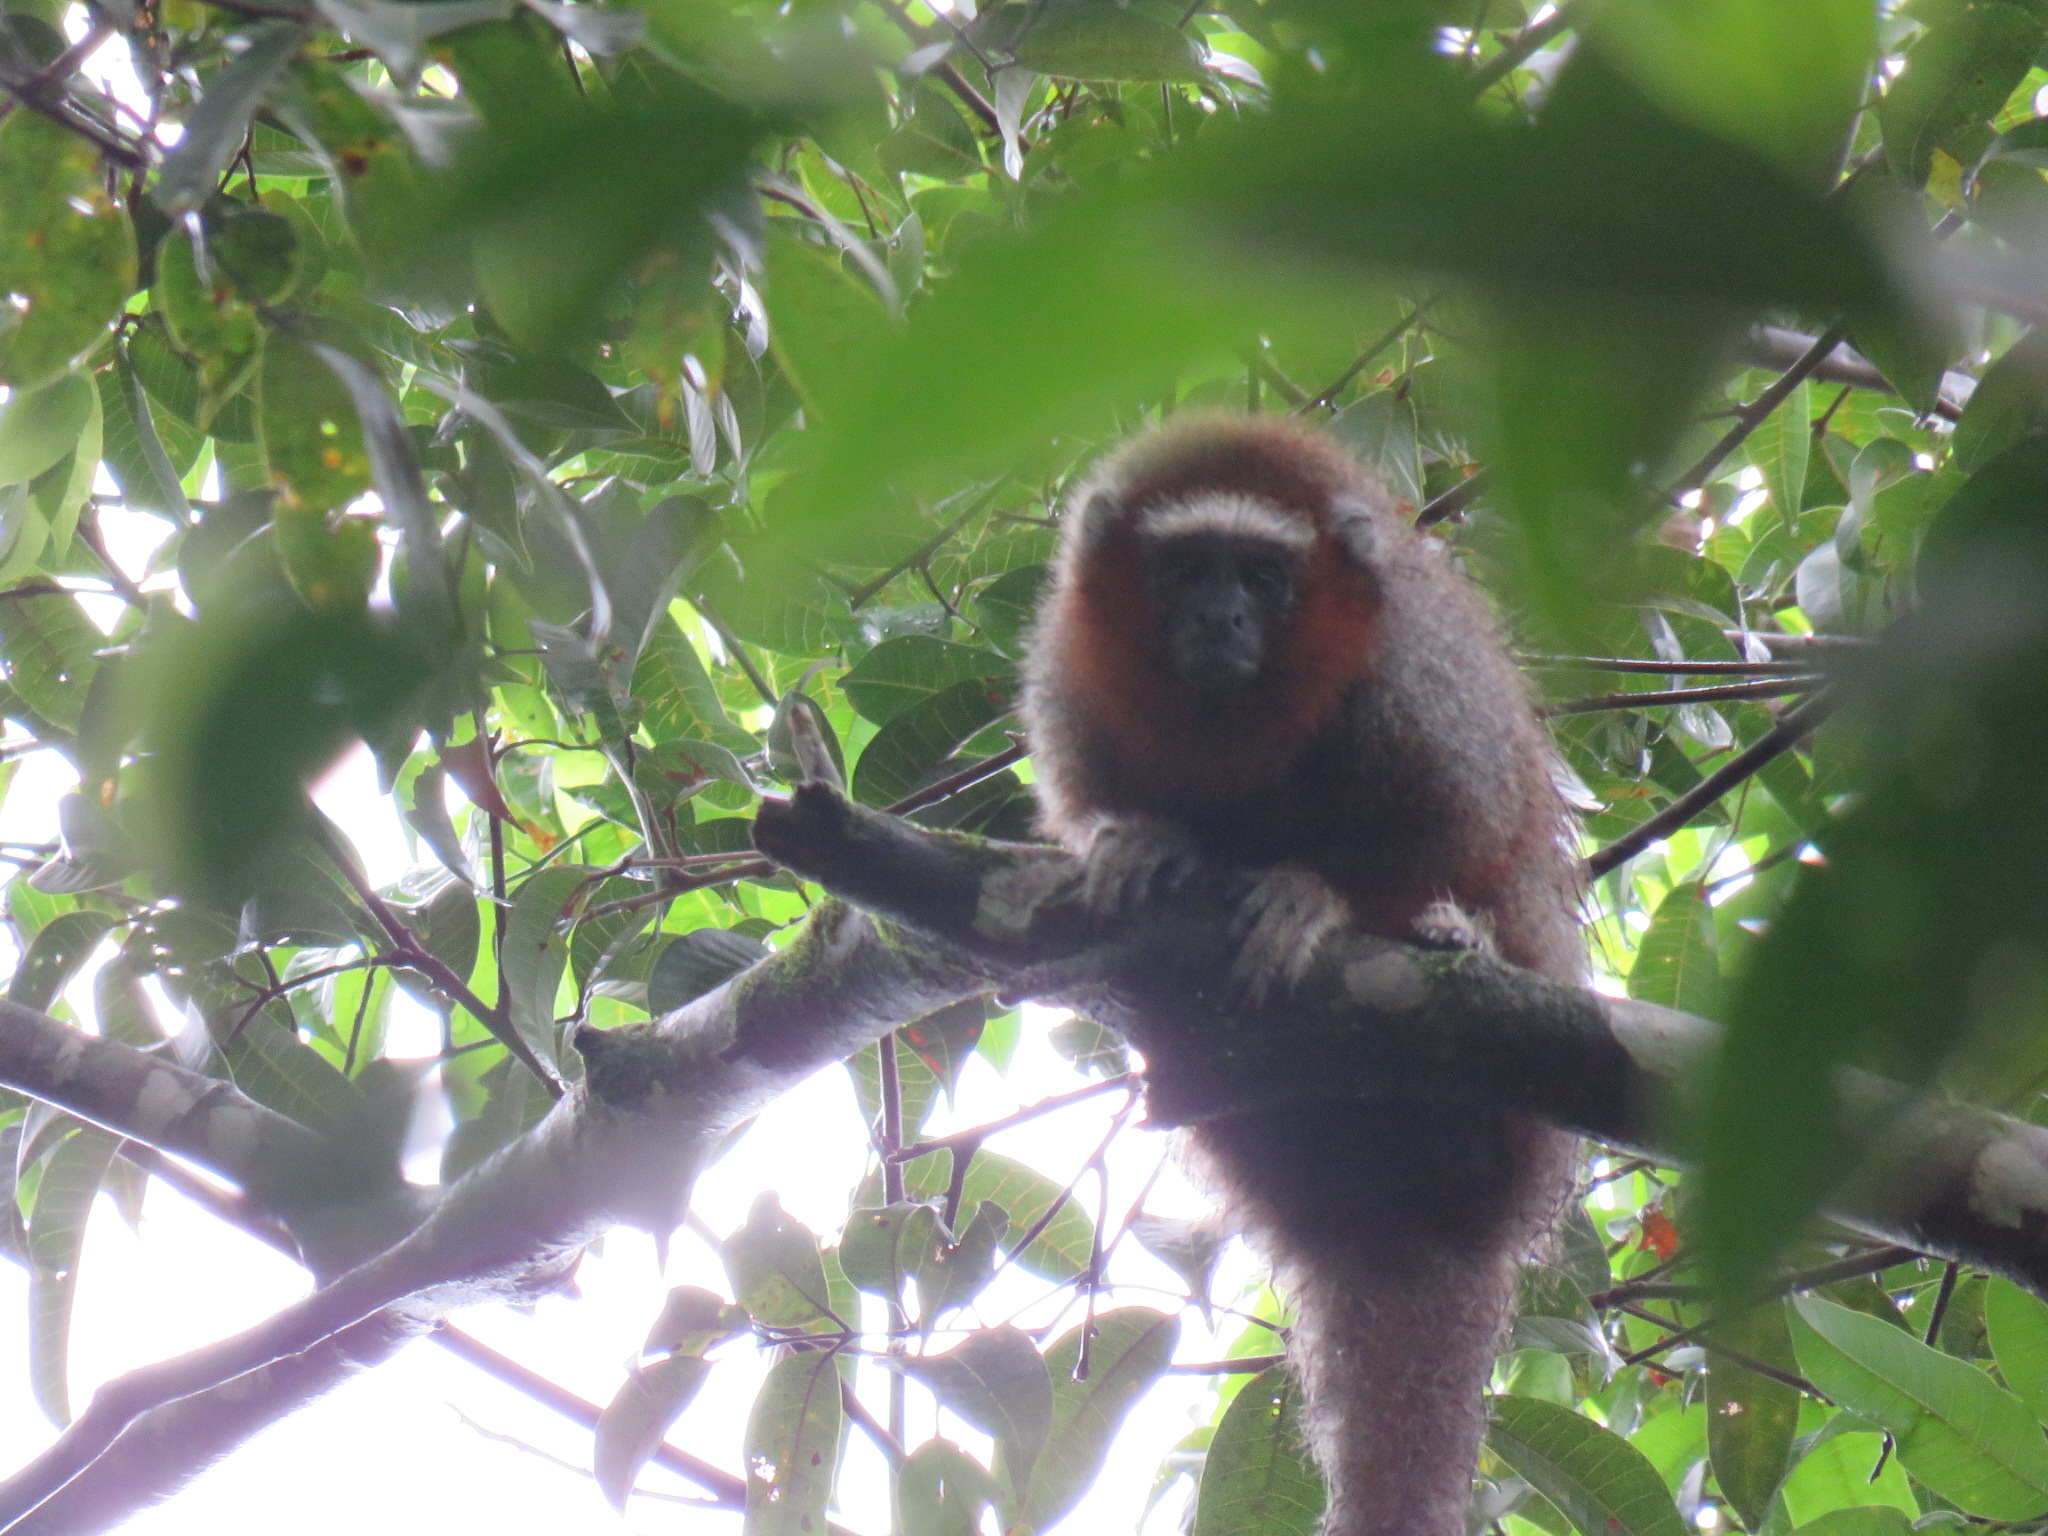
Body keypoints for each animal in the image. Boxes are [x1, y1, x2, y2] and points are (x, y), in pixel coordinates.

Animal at [1017, 415, 1583, 1536]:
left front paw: (1314, 896)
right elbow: (1084, 800)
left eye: (1263, 577)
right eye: (1187, 571)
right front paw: (1141, 842)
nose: (1222, 615)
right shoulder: (1070, 666)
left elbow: (1469, 815)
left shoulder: (1413, 677)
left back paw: (1458, 945)